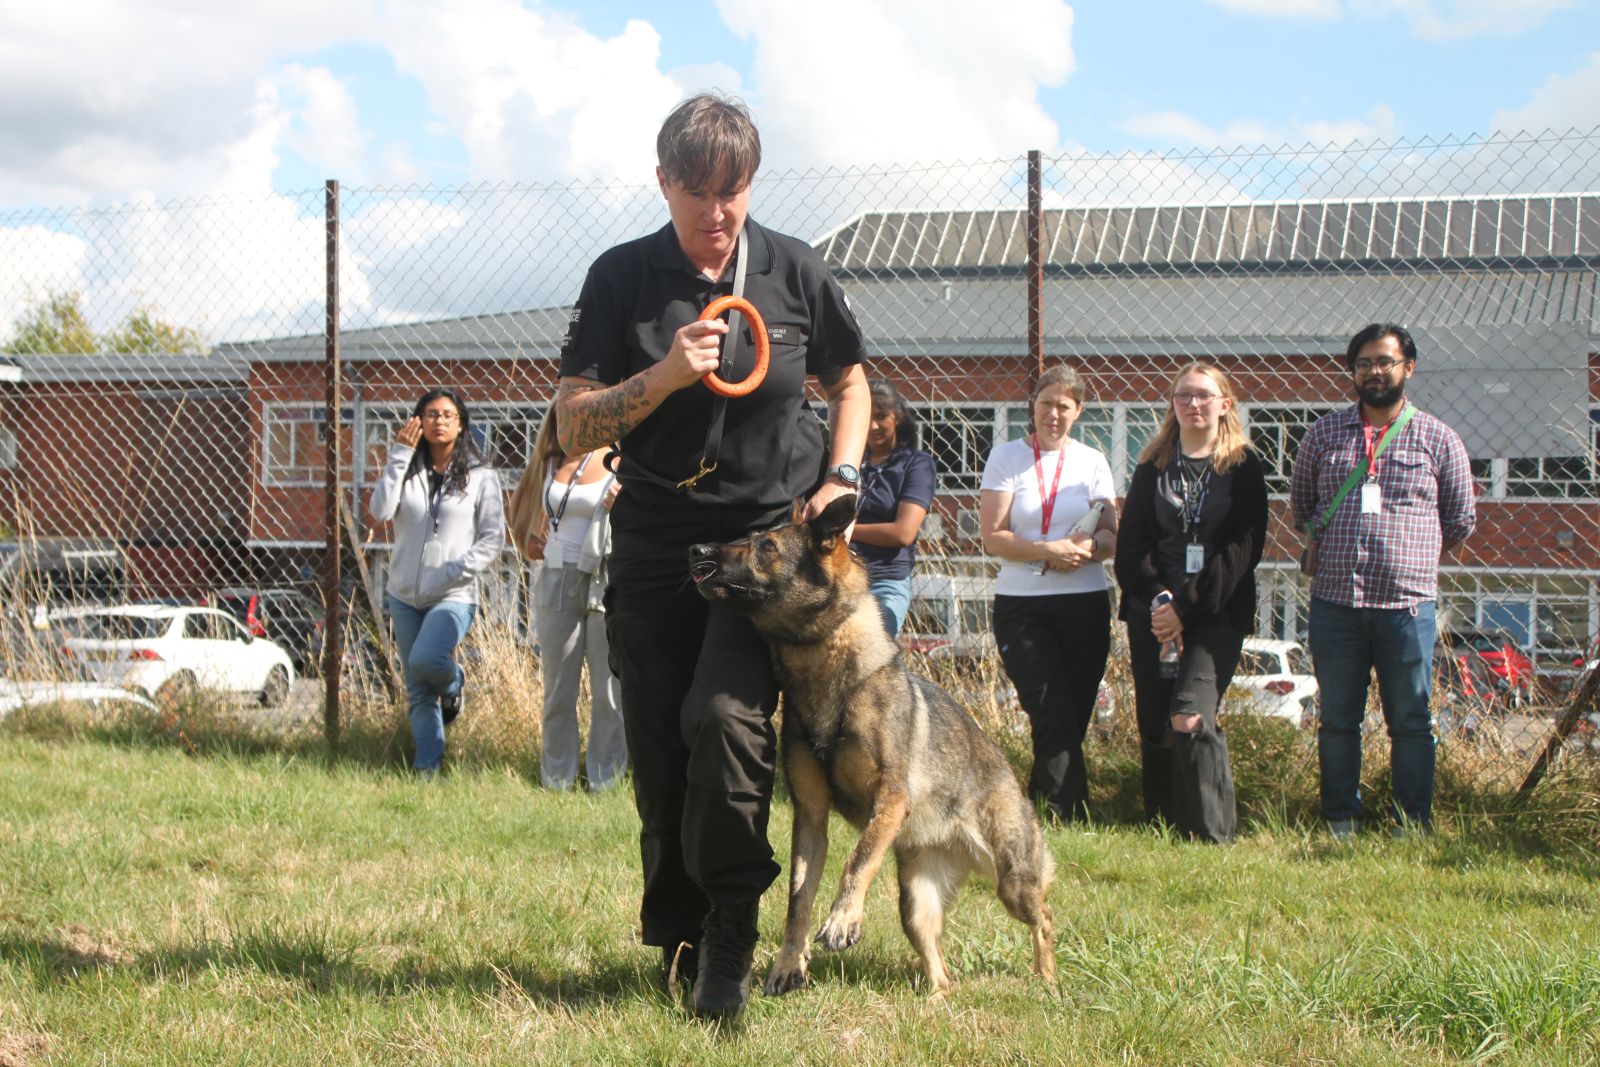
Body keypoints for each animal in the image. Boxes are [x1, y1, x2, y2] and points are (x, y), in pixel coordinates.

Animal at [688, 495, 1049, 998]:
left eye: (766, 546)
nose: (695, 549)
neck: (829, 674)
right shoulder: (811, 818)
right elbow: (798, 900)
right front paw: (789, 963)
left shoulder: (891, 800)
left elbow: (857, 859)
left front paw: (843, 920)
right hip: (915, 903)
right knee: (939, 964)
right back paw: (937, 1000)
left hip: (1012, 879)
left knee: (1044, 918)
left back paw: (1048, 981)